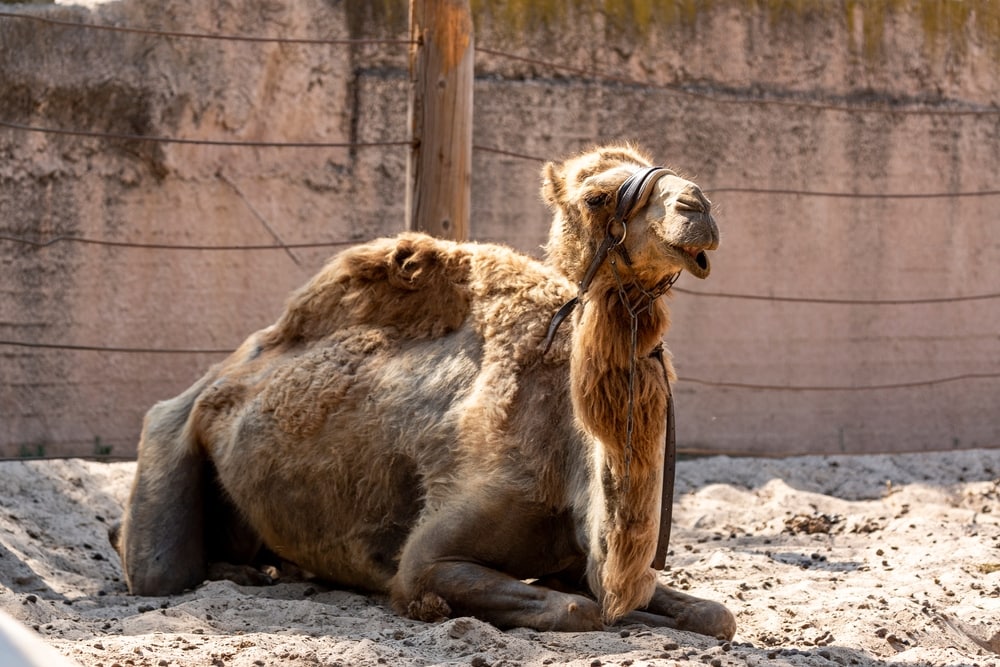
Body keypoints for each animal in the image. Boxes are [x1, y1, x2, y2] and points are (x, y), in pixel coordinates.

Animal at [113, 144, 735, 638]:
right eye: (597, 197)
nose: (697, 206)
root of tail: (222, 373)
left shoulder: (587, 559)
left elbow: (713, 614)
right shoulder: (430, 554)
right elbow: (576, 609)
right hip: (170, 440)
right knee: (163, 569)